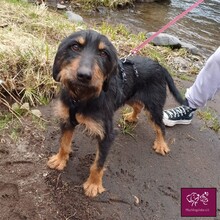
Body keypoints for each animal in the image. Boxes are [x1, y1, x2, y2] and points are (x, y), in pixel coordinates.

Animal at [47, 29, 184, 198]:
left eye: (103, 53)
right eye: (75, 47)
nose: (84, 75)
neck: (81, 97)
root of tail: (159, 66)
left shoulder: (107, 134)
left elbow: (98, 164)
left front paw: (94, 184)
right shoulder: (67, 120)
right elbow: (64, 144)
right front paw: (60, 160)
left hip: (154, 107)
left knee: (160, 126)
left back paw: (161, 144)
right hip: (130, 96)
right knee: (138, 105)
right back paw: (132, 117)